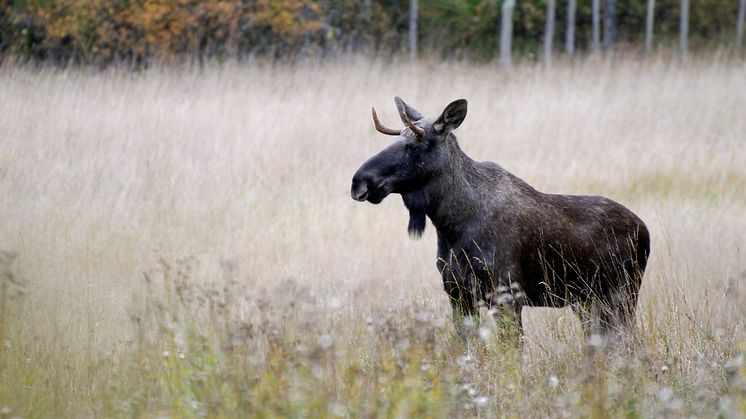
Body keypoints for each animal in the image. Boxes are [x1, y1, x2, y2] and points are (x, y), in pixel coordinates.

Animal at [352, 97, 648, 338]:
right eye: (394, 140)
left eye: (415, 146)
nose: (359, 182)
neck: (450, 225)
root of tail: (645, 230)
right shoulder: (457, 294)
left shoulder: (507, 295)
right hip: (587, 301)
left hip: (623, 294)